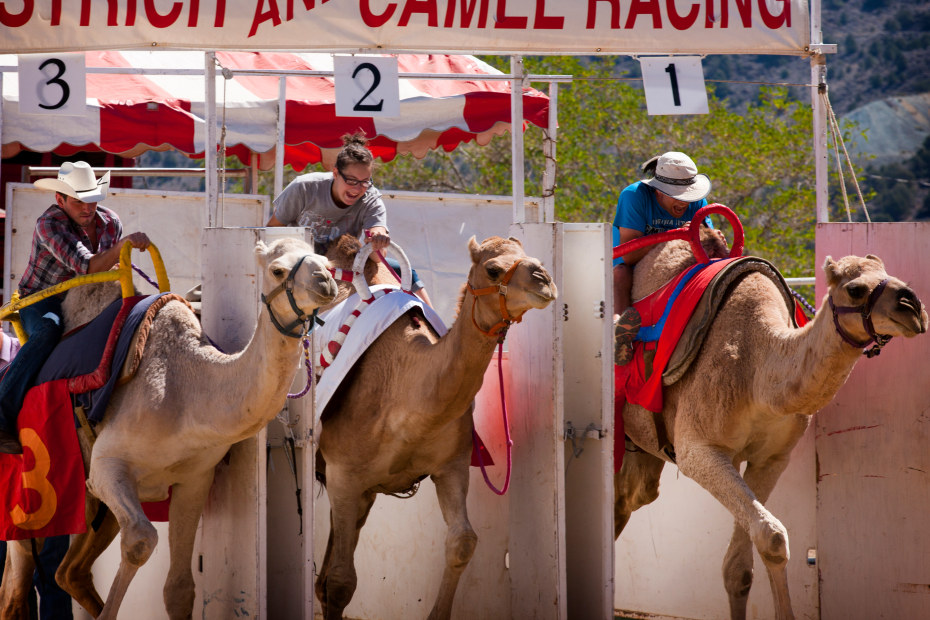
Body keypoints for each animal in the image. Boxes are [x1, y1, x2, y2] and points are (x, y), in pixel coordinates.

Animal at [0, 237, 338, 620]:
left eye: (326, 261)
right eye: (278, 270)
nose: (326, 282)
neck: (188, 392)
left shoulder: (196, 478)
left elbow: (179, 588)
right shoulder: (106, 467)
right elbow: (141, 541)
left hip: (90, 504)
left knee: (69, 573)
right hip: (33, 493)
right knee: (18, 585)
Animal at [316, 234, 556, 620]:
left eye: (534, 259)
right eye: (493, 269)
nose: (544, 281)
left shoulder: (451, 466)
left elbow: (463, 542)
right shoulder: (344, 474)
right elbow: (340, 582)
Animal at [612, 241, 924, 620]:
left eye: (891, 274)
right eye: (855, 289)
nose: (912, 307)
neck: (758, 369)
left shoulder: (772, 458)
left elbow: (747, 561)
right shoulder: (699, 450)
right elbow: (770, 534)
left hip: (640, 447)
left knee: (630, 498)